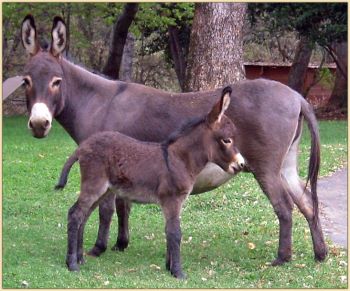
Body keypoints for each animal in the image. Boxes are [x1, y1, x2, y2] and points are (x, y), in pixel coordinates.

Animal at [56, 88, 243, 280]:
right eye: (226, 140)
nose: (241, 165)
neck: (179, 159)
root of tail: (83, 147)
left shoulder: (174, 202)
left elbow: (169, 230)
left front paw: (169, 267)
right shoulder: (172, 200)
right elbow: (175, 232)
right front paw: (178, 272)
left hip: (103, 190)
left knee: (83, 217)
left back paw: (80, 258)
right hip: (94, 185)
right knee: (75, 215)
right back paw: (72, 264)